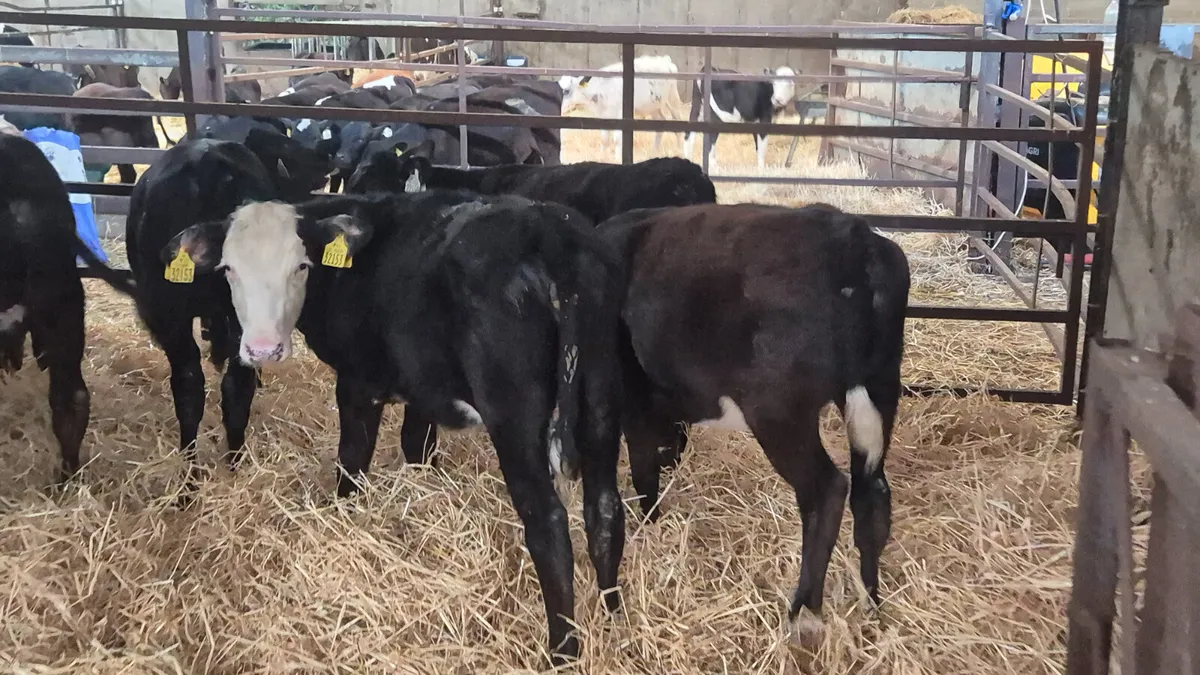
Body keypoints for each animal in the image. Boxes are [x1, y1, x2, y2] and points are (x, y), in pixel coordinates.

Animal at [160, 190, 627, 663]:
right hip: (602, 398)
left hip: (515, 414)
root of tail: (551, 230)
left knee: (548, 524)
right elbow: (416, 447)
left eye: (301, 266)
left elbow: (351, 465)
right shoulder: (423, 388)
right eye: (229, 269)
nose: (262, 349)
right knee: (605, 509)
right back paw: (614, 617)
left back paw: (564, 651)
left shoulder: (357, 382)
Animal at [558, 54, 687, 162]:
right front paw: (603, 156)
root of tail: (664, 59)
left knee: (678, 124)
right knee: (660, 125)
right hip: (654, 107)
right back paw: (654, 151)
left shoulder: (620, 114)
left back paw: (680, 151)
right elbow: (604, 139)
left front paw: (617, 158)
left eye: (566, 91)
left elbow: (617, 139)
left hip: (673, 99)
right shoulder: (604, 116)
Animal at [596, 202, 910, 632]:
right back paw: (871, 602)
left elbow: (644, 469)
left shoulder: (635, 406)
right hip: (879, 392)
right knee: (872, 493)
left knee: (827, 491)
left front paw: (651, 522)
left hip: (780, 414)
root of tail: (854, 240)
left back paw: (803, 611)